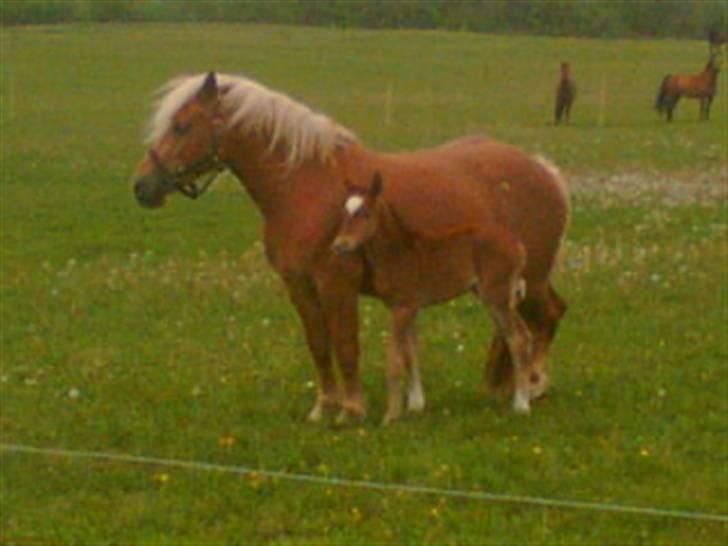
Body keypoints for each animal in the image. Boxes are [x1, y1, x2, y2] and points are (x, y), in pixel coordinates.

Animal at [134, 70, 572, 422]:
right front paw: (324, 407)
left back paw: (533, 386)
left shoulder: (337, 286)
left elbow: (346, 345)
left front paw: (352, 409)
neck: (306, 187)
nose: (142, 186)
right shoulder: (300, 286)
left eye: (182, 126)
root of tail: (544, 171)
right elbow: (319, 345)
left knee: (544, 317)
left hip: (526, 281)